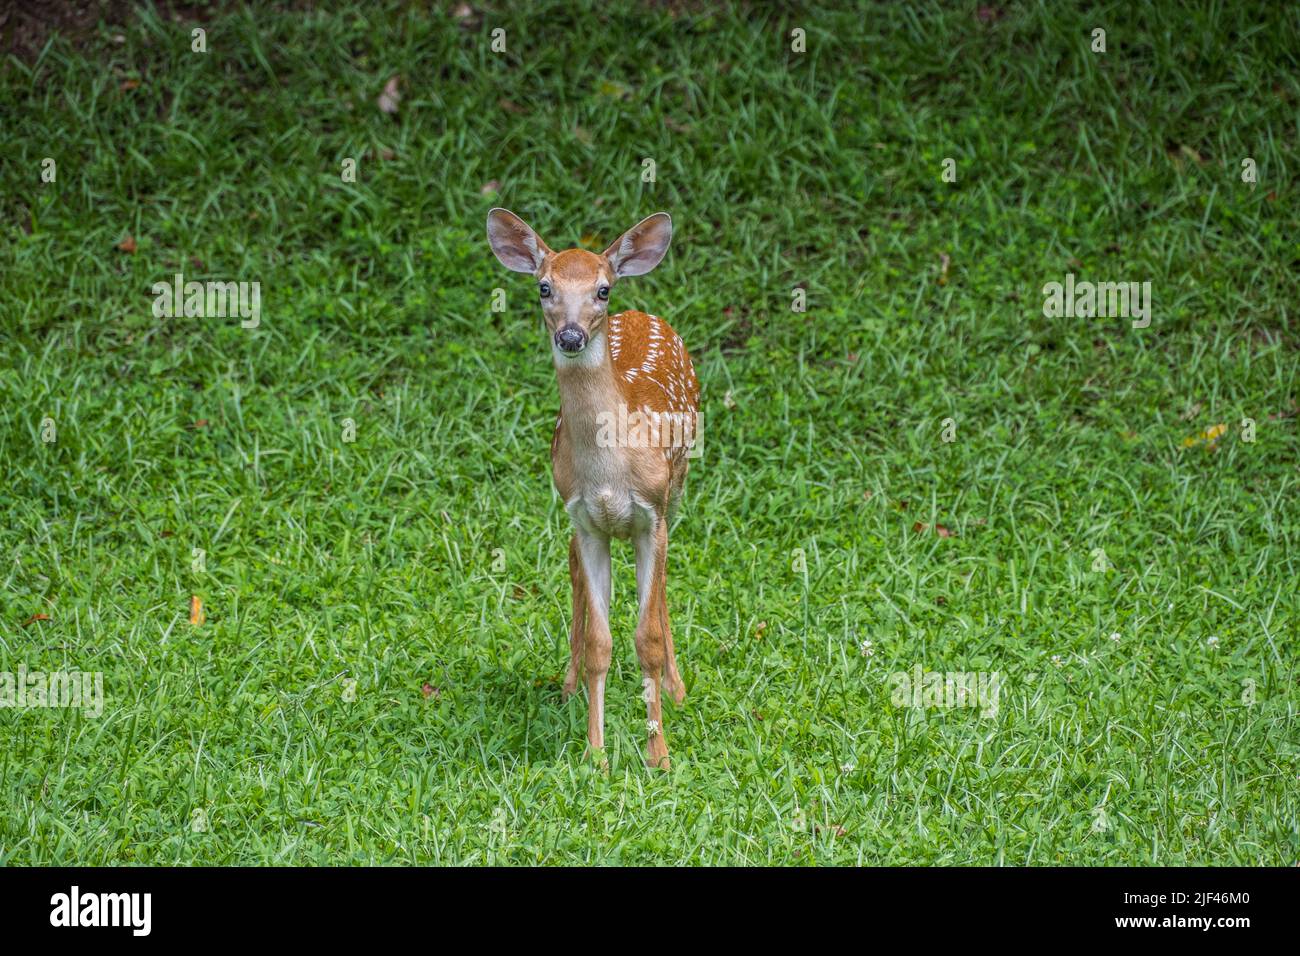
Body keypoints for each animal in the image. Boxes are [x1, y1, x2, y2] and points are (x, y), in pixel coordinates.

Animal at [486, 208, 702, 770]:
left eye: (603, 290)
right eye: (544, 287)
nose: (571, 335)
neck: (609, 469)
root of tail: (645, 313)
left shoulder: (651, 515)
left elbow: (647, 638)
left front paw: (659, 755)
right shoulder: (585, 519)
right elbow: (601, 644)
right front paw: (596, 755)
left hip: (678, 486)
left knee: (664, 584)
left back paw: (677, 689)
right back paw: (566, 685)